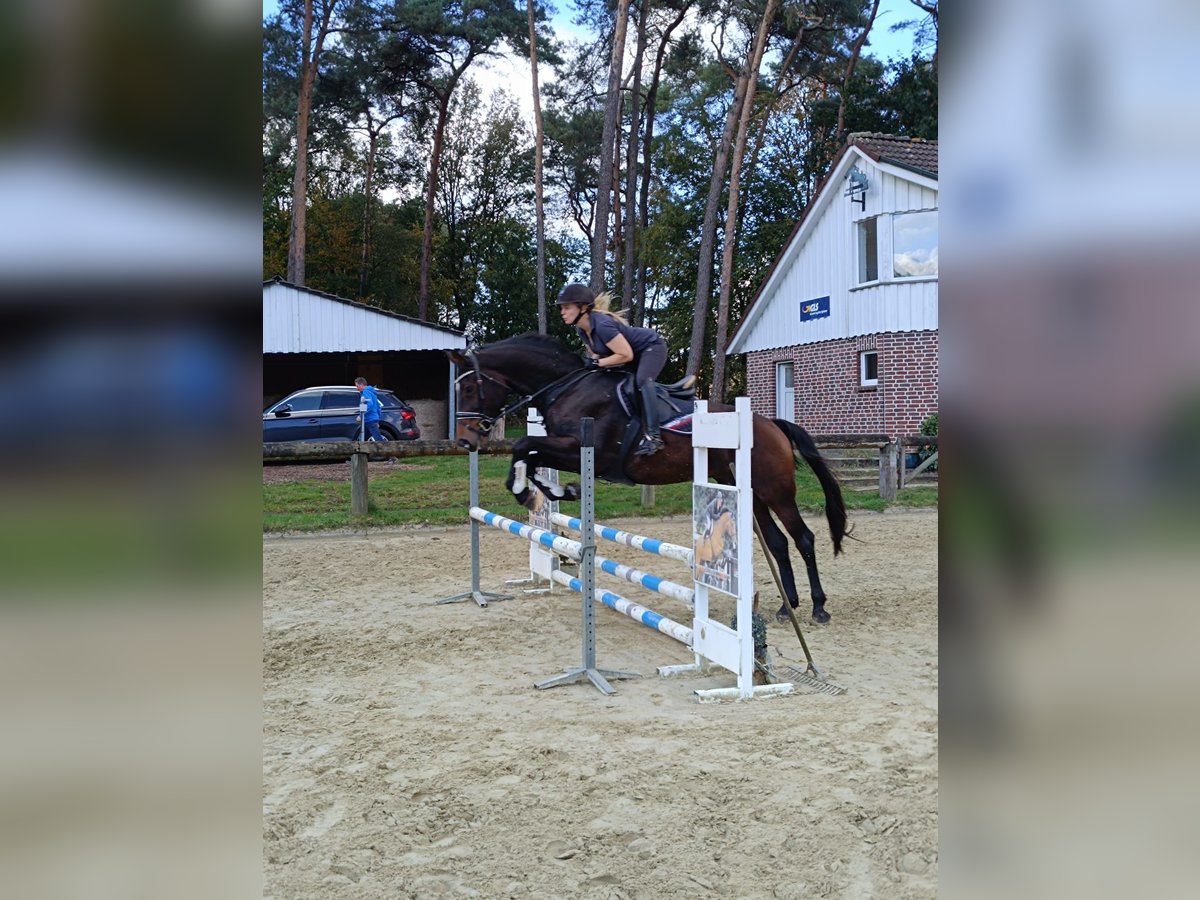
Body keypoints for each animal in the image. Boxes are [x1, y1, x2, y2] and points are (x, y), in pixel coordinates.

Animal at [446, 333, 849, 628]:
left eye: (470, 389)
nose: (465, 442)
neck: (565, 387)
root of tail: (773, 425)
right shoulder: (565, 449)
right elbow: (528, 454)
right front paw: (549, 491)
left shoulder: (585, 450)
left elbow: (523, 446)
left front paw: (536, 492)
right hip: (749, 493)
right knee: (778, 542)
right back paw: (787, 606)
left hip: (775, 491)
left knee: (803, 538)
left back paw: (818, 607)